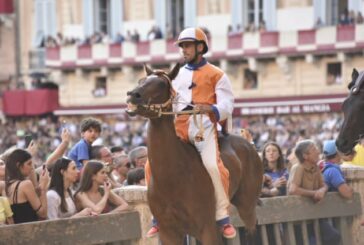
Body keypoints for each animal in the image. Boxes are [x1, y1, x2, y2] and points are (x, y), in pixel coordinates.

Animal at [126, 62, 264, 243]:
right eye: (141, 80)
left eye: (161, 84)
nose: (133, 95)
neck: (173, 177)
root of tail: (249, 144)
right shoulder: (168, 232)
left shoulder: (207, 229)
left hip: (247, 207)